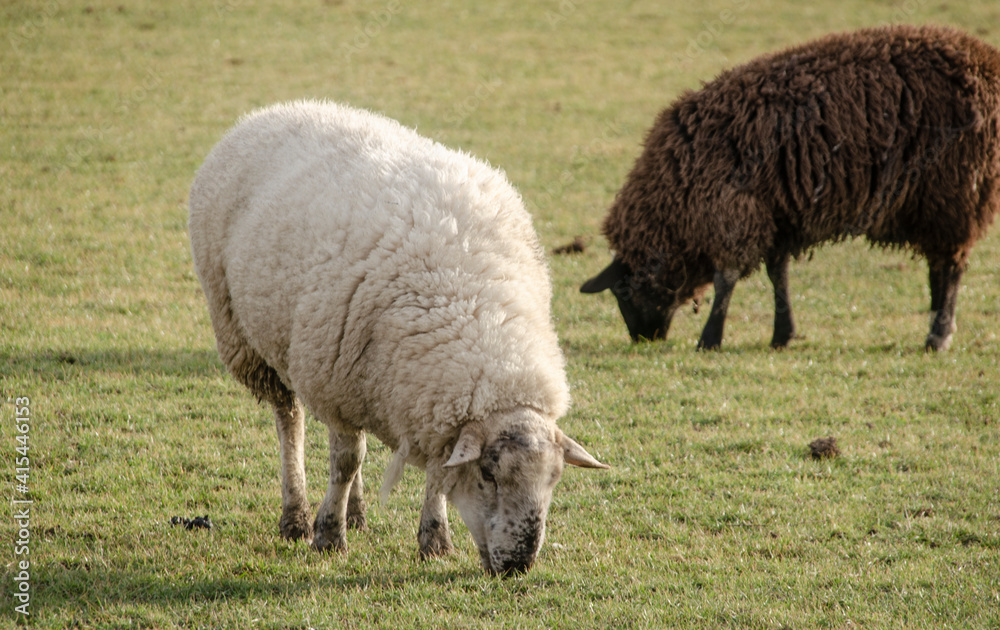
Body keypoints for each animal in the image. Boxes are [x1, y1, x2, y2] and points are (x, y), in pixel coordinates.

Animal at [189, 100, 608, 576]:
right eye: (488, 474)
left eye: (554, 479)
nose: (519, 564)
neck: (475, 315)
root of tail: (275, 110)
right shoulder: (335, 383)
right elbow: (344, 463)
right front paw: (328, 536)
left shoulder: (420, 403)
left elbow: (432, 473)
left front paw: (434, 539)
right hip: (251, 339)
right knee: (291, 423)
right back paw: (296, 515)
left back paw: (357, 512)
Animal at [584, 24, 996, 350]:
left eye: (622, 291)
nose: (643, 339)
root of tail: (988, 64)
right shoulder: (775, 212)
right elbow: (777, 274)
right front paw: (782, 334)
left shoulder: (731, 212)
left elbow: (725, 279)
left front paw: (710, 338)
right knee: (941, 264)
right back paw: (935, 319)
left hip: (955, 190)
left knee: (951, 265)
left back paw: (938, 335)